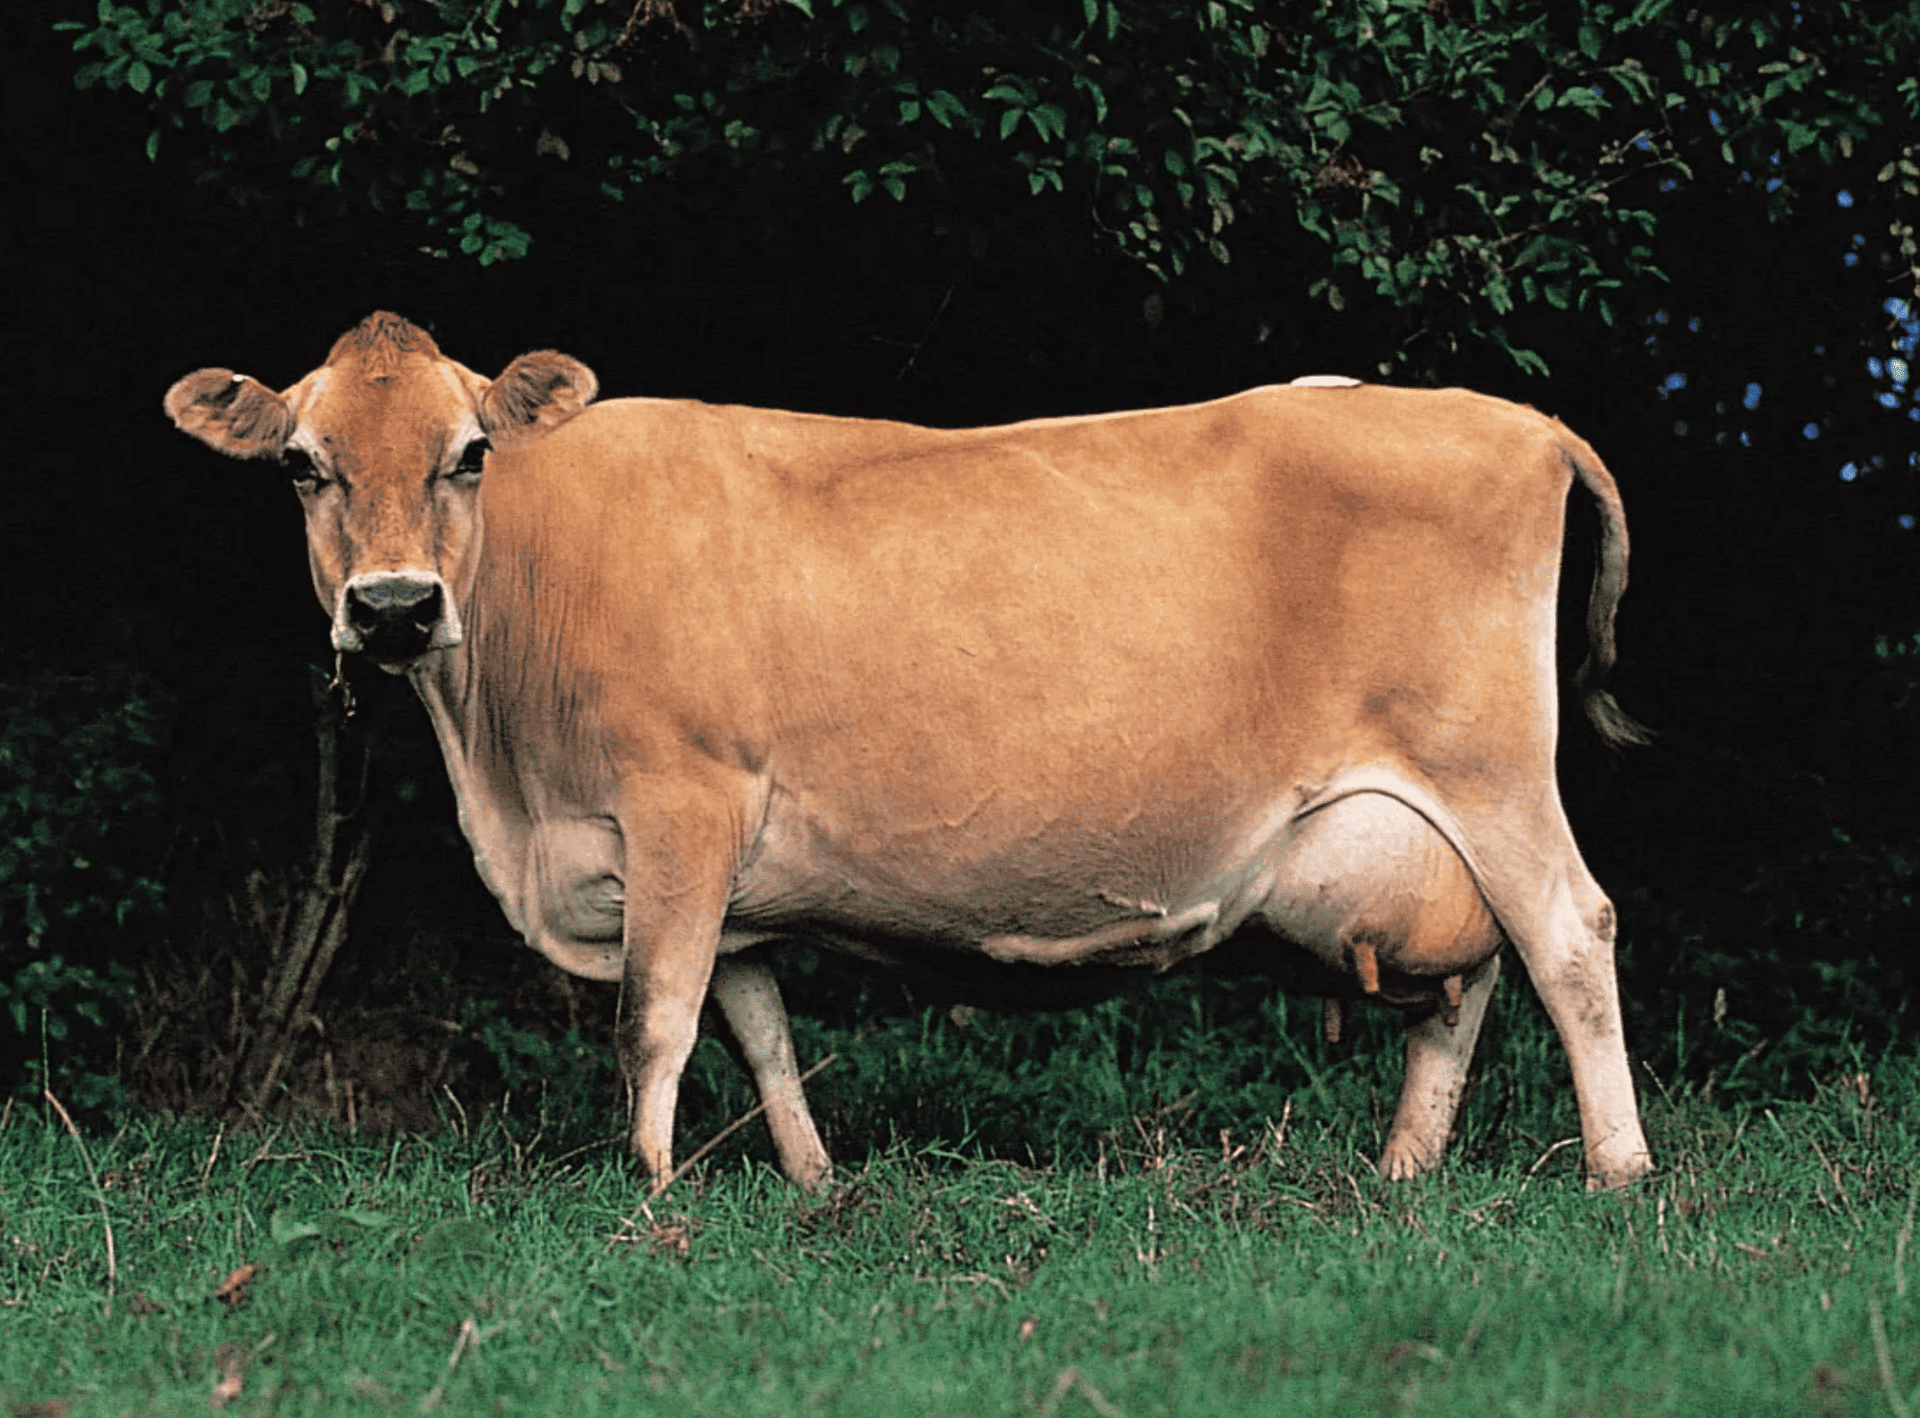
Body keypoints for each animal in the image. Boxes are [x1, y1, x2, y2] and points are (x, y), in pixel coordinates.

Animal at [166, 312, 1654, 1191]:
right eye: (301, 462)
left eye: (472, 450)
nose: (394, 608)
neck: (512, 780)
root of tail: (1512, 417)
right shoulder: (724, 865)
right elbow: (756, 1022)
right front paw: (813, 1182)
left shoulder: (681, 802)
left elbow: (654, 1013)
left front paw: (646, 1190)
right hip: (1424, 824)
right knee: (1466, 979)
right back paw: (1406, 1169)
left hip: (1491, 769)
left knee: (1568, 932)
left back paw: (1620, 1168)